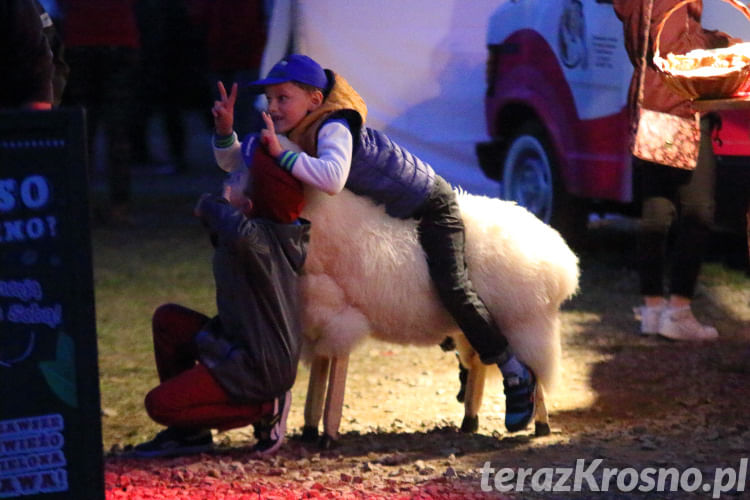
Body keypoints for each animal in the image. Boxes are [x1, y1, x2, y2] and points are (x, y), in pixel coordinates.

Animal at [296, 186, 580, 448]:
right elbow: (317, 378)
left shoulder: (340, 318)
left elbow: (333, 383)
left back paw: (537, 423)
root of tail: (562, 261)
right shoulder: (318, 322)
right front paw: (309, 429)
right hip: (476, 328)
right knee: (479, 364)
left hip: (524, 323)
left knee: (533, 371)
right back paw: (469, 421)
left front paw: (327, 436)